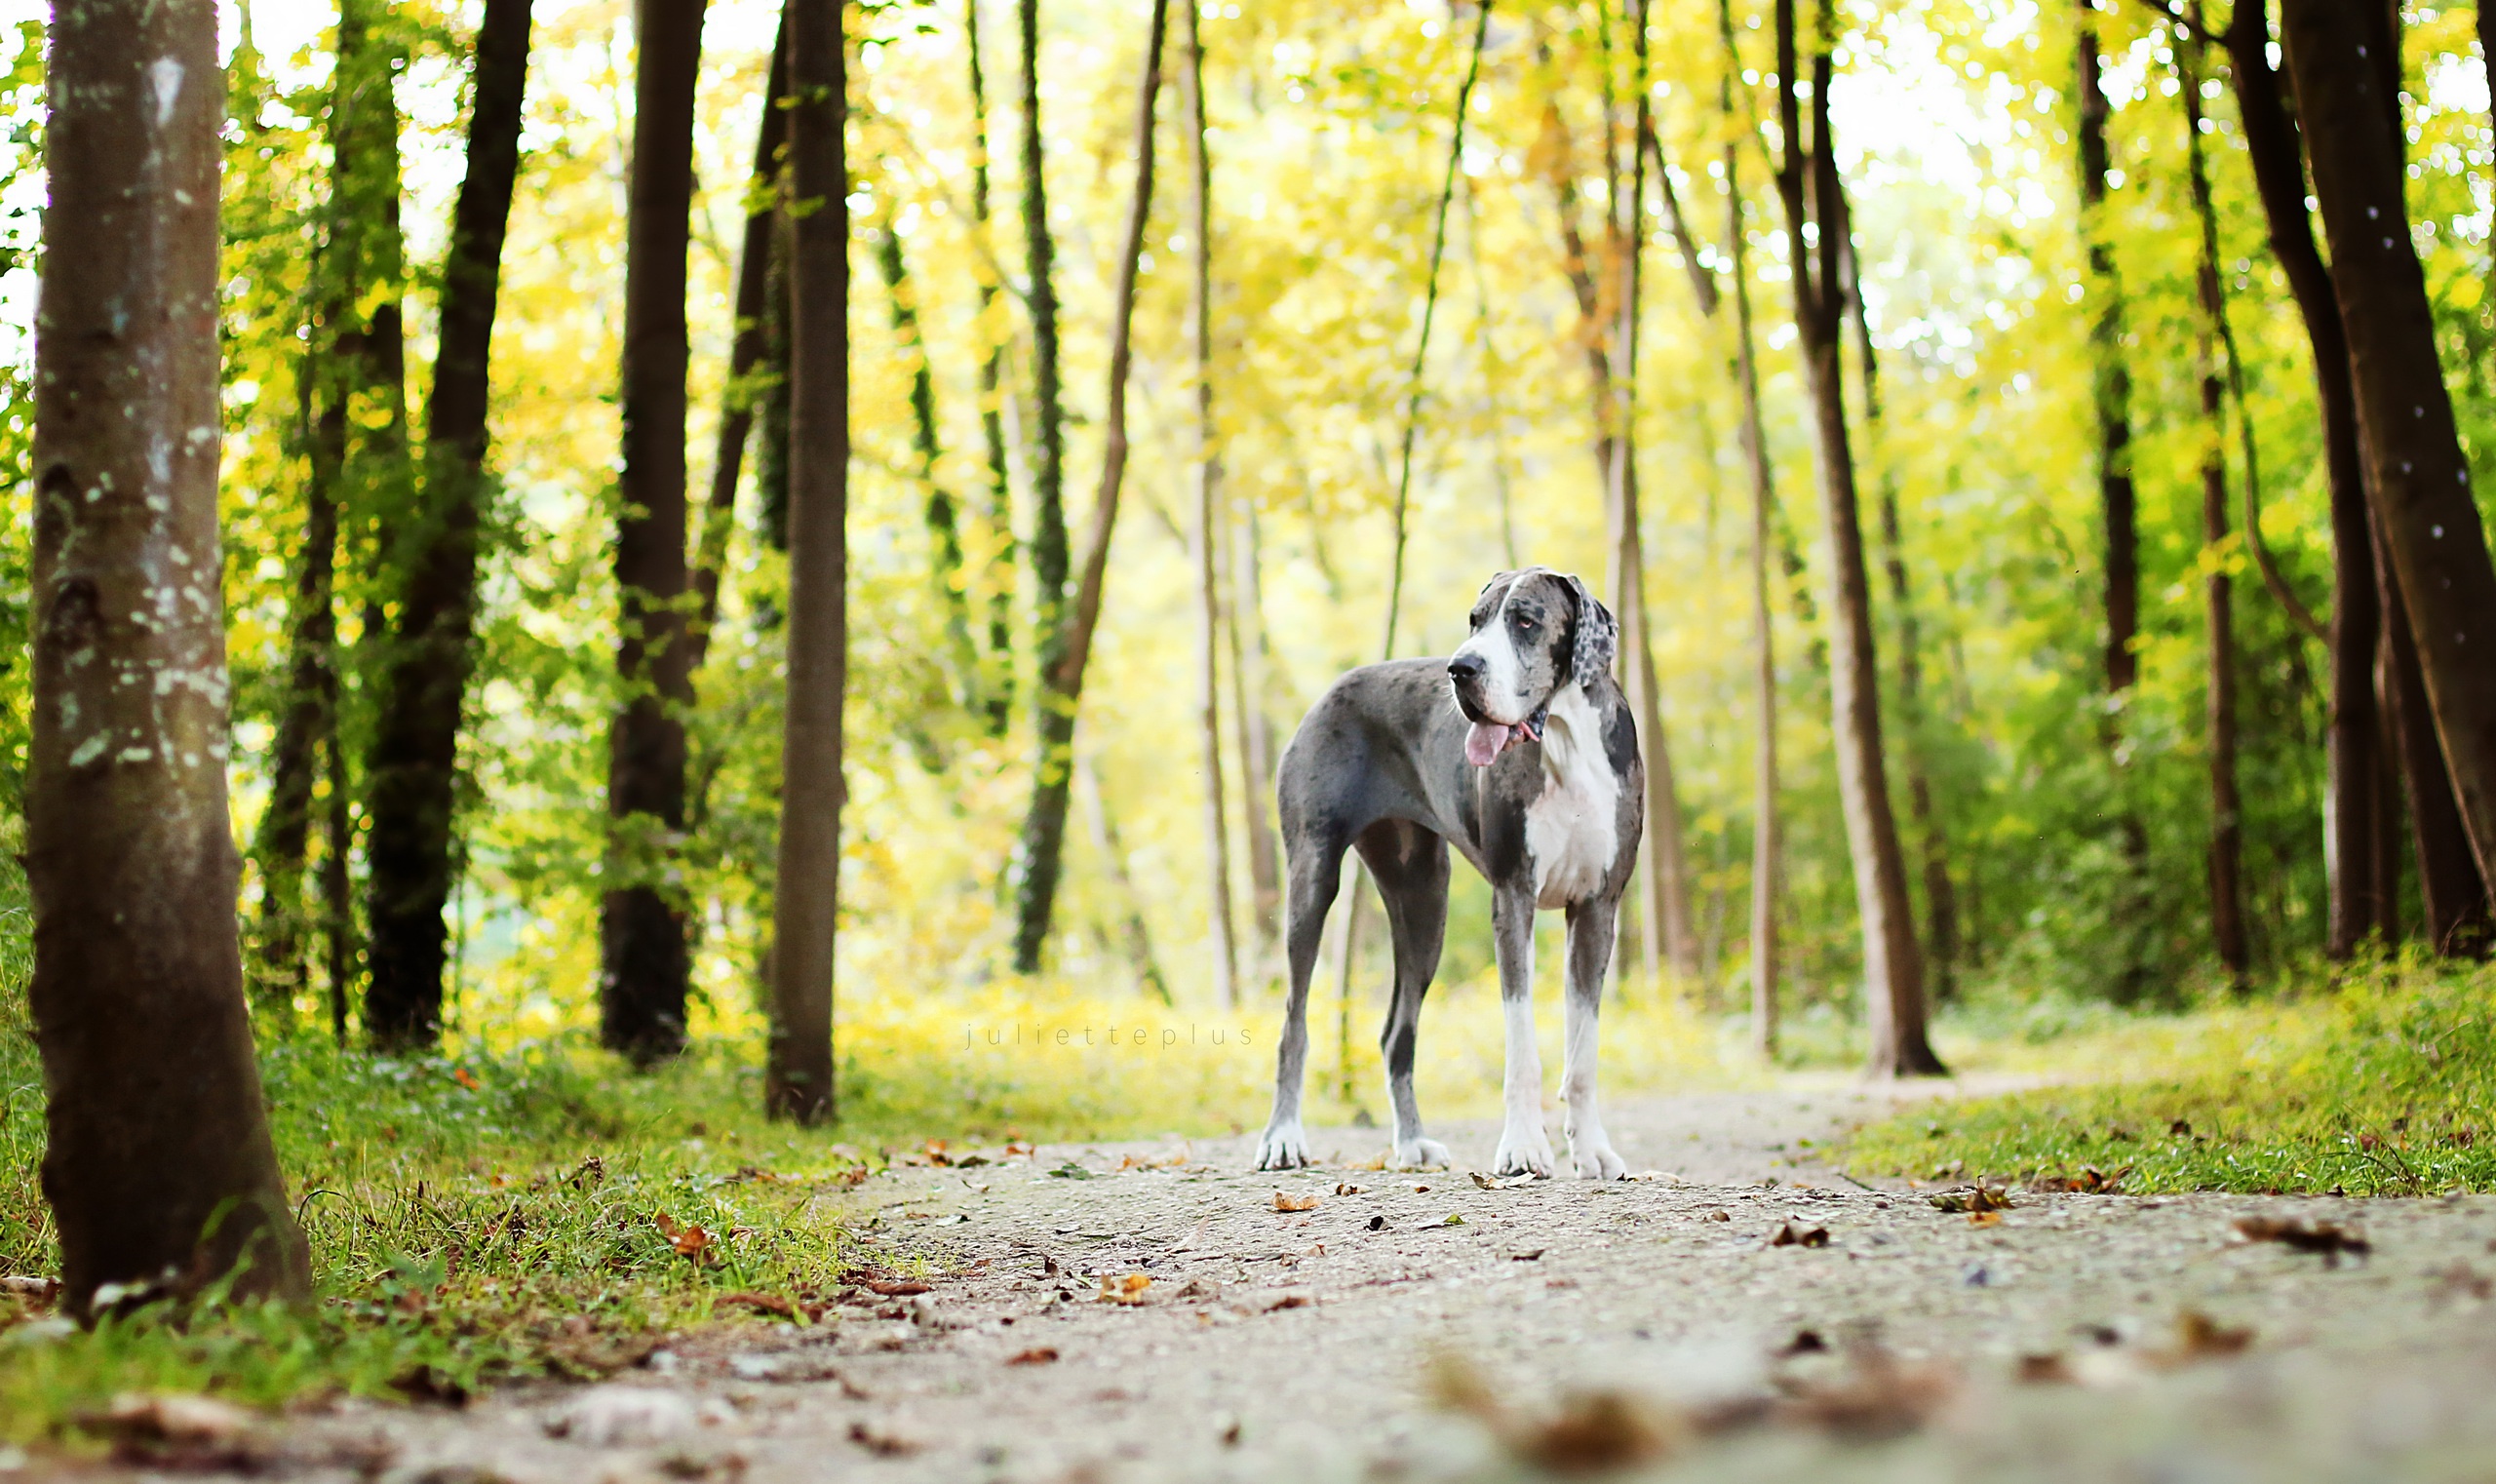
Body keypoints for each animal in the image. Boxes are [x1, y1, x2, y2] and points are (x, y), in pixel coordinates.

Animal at [1258, 570, 1647, 1182]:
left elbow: (1583, 1051)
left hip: (1424, 907)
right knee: (1293, 1024)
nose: (1461, 668)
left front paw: (1591, 1151)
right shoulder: (1514, 898)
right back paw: (1283, 1138)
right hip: (1311, 881)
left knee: (1397, 1034)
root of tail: (1333, 687)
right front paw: (1523, 1147)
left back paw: (1413, 1143)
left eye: (1526, 620)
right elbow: (1522, 1047)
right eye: (1474, 620)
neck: (1566, 741)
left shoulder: (1597, 908)